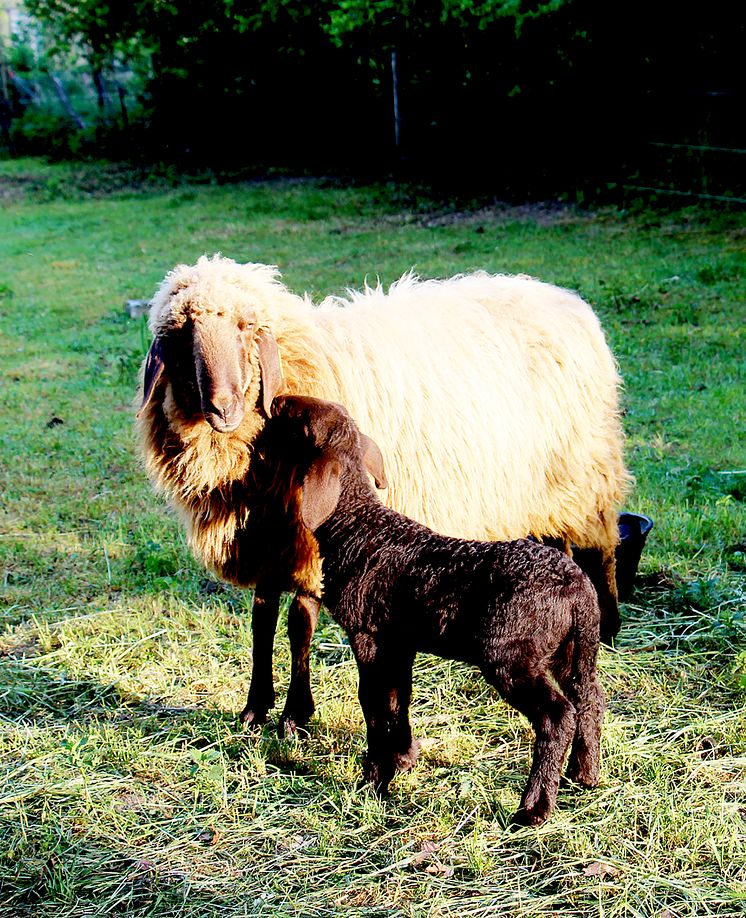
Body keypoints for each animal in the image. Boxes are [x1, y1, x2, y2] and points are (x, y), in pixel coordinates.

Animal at [135, 255, 628, 736]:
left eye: (246, 328)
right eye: (181, 336)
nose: (223, 409)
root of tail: (562, 296)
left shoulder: (309, 545)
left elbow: (299, 626)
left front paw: (296, 715)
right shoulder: (269, 542)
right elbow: (261, 623)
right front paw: (255, 709)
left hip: (587, 472)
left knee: (604, 545)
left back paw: (610, 626)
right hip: (549, 490)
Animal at [264, 396, 600, 828]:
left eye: (297, 421)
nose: (275, 400)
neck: (360, 529)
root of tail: (577, 589)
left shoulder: (367, 634)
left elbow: (373, 701)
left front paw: (374, 779)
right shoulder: (399, 641)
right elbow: (398, 698)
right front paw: (404, 758)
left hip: (511, 654)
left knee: (557, 717)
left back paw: (534, 809)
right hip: (571, 650)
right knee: (590, 698)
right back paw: (583, 775)